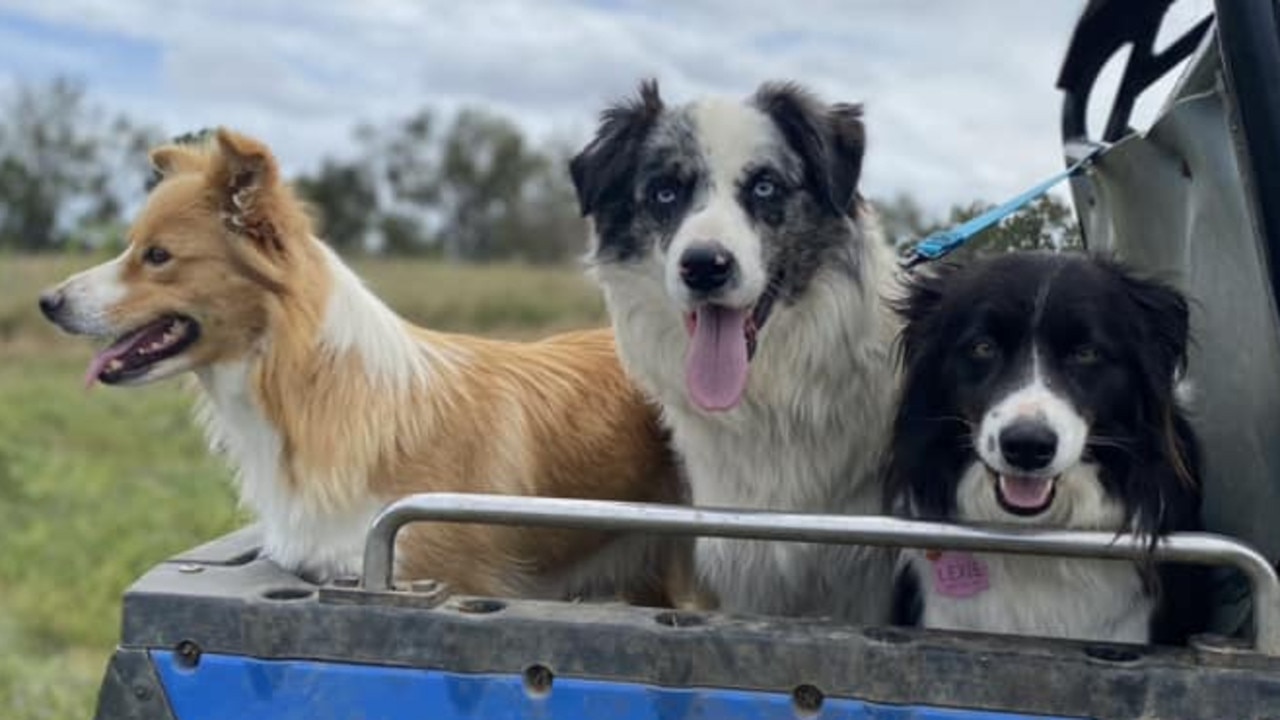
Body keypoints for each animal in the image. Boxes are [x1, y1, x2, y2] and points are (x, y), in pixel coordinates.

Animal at [576, 77, 896, 617]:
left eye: (764, 186)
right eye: (665, 192)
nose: (705, 266)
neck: (774, 400)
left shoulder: (867, 582)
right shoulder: (745, 567)